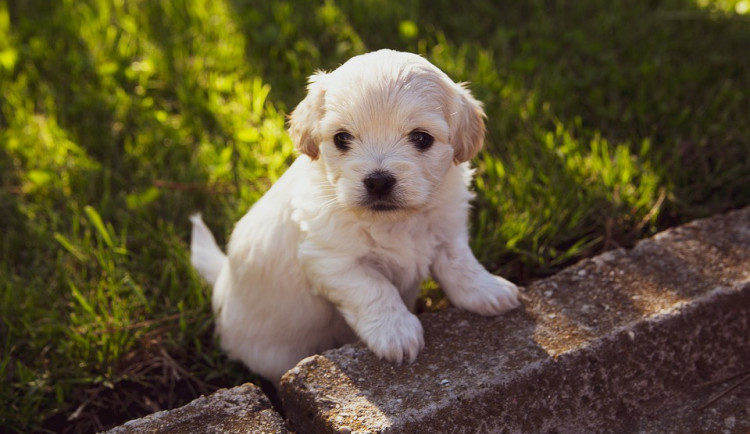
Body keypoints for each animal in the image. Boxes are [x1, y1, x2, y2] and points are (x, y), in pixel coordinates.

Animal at [192, 49, 524, 384]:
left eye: (421, 138)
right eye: (342, 138)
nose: (378, 181)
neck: (395, 222)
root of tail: (222, 282)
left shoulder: (447, 229)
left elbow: (461, 264)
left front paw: (487, 291)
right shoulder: (332, 260)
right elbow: (375, 289)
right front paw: (397, 333)